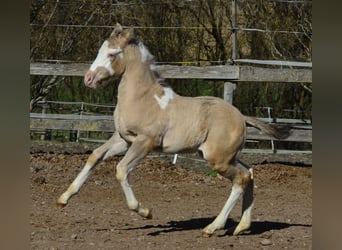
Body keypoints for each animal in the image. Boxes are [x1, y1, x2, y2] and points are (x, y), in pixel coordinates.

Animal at [56, 23, 288, 236]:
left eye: (112, 54)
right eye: (100, 50)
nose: (88, 79)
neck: (143, 99)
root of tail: (241, 116)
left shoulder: (145, 142)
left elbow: (121, 170)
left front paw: (145, 211)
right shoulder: (124, 139)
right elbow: (94, 156)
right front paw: (63, 199)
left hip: (218, 159)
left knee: (241, 179)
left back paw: (213, 227)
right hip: (227, 156)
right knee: (249, 172)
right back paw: (242, 226)